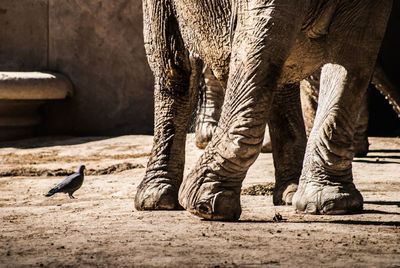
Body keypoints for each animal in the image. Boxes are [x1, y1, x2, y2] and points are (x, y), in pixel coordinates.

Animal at [136, 0, 392, 220]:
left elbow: (356, 50)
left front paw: (333, 203)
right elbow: (260, 40)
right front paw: (205, 204)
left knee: (284, 75)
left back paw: (290, 193)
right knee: (173, 67)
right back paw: (156, 199)